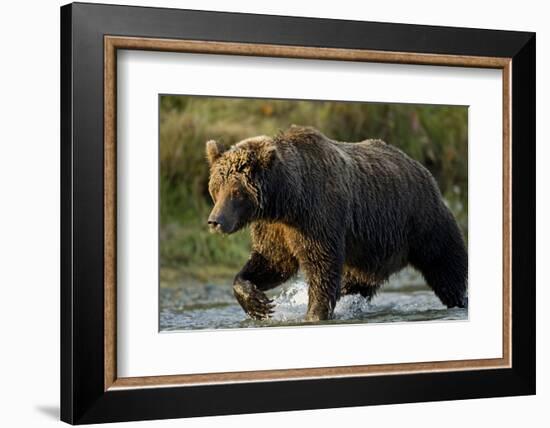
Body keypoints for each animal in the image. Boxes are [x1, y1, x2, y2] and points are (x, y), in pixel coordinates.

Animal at [205, 126, 468, 320]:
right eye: (216, 188)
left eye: (236, 191)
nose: (215, 221)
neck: (288, 201)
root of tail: (423, 169)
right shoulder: (274, 228)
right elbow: (273, 262)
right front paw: (258, 303)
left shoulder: (318, 217)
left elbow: (322, 266)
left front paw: (314, 314)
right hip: (370, 253)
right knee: (355, 283)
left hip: (424, 223)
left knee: (447, 270)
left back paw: (460, 301)